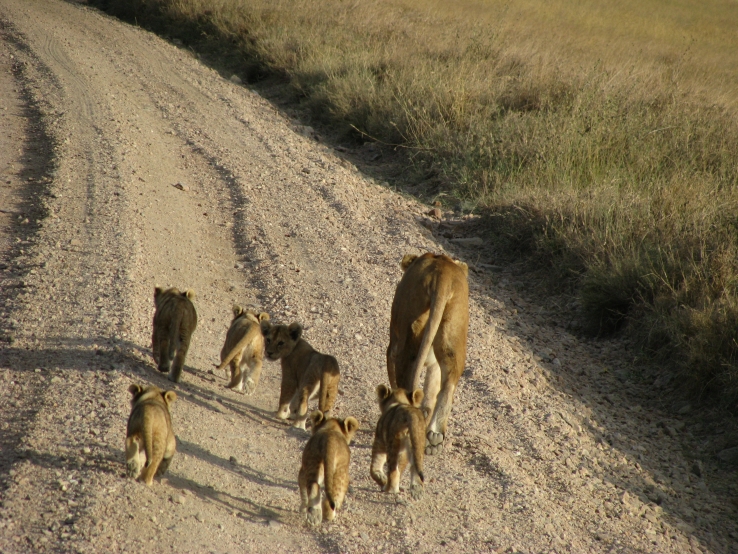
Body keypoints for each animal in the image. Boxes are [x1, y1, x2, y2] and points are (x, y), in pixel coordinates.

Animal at [387, 252, 469, 455]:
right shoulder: (434, 364)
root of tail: (443, 274)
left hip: (408, 337)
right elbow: (431, 391)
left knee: (406, 381)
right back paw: (435, 437)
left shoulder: (392, 347)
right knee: (448, 386)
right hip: (452, 336)